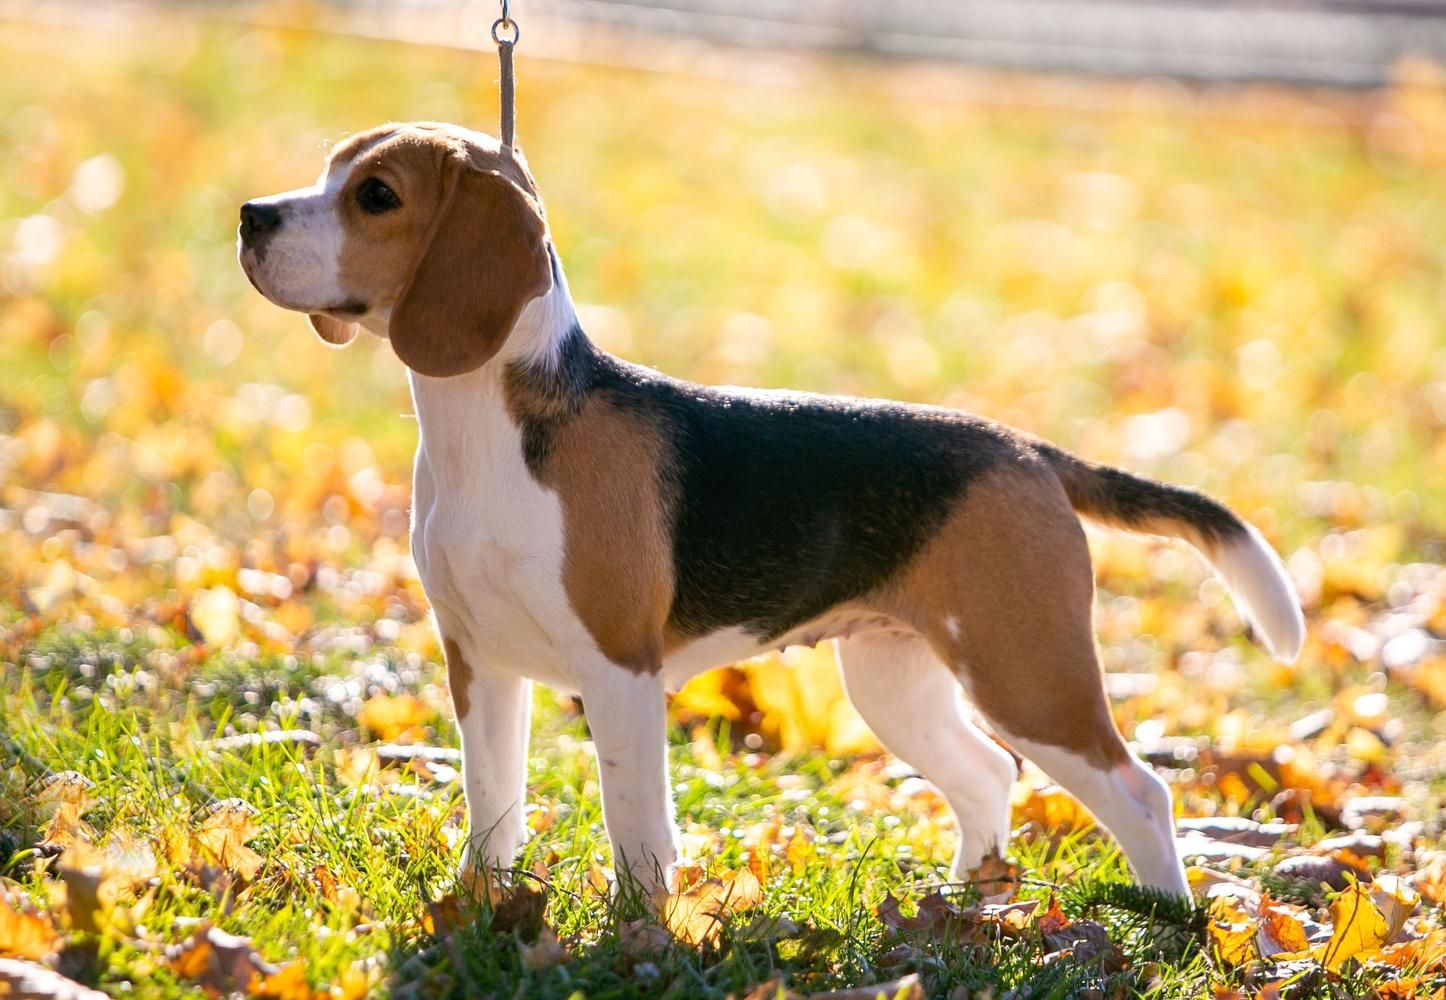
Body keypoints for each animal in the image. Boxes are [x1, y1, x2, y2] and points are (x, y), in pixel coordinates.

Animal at [240, 121, 1312, 895]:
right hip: (895, 681)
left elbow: (637, 829)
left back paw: (1166, 917)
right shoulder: (481, 664)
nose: (250, 214)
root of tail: (1027, 451)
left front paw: (642, 932)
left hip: (1028, 671)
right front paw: (482, 908)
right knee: (987, 773)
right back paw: (966, 899)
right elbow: (492, 805)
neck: (492, 426)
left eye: (378, 195)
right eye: (331, 168)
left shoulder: (620, 674)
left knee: (1139, 790)